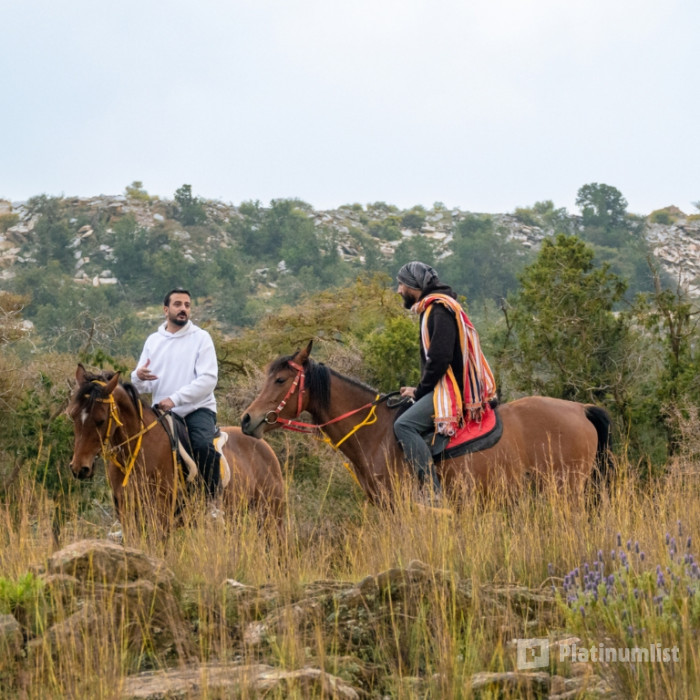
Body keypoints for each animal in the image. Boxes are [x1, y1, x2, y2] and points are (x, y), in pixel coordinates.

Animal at [67, 365, 285, 533]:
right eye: (73, 415)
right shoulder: (127, 514)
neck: (137, 454)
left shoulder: (161, 514)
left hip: (271, 516)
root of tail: (264, 446)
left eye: (100, 420)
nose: (80, 468)